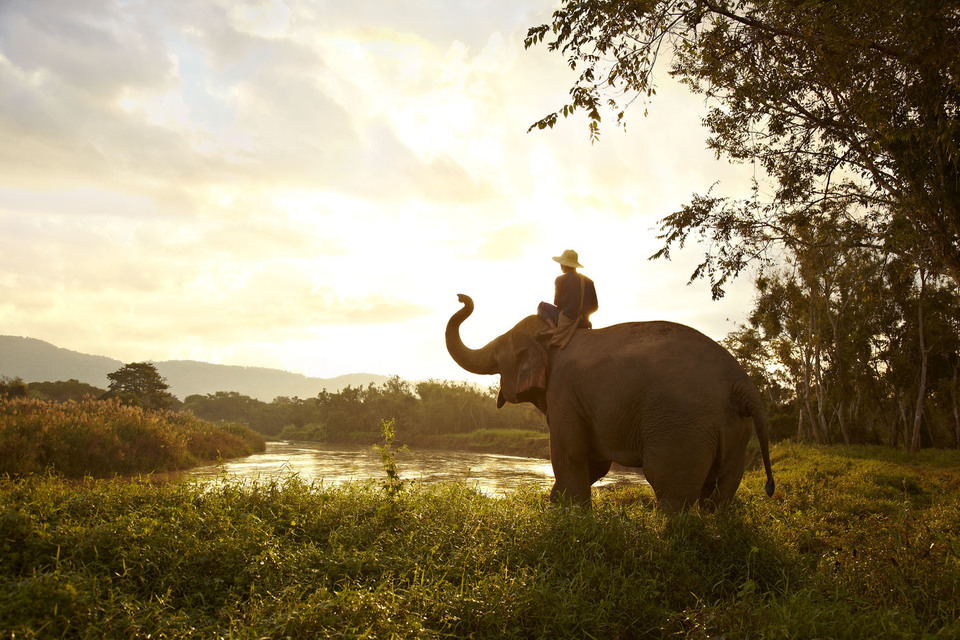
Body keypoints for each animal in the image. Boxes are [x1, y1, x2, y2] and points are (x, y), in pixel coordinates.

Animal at [445, 294, 775, 511]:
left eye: (499, 352)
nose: (462, 297)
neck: (552, 336)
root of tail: (741, 381)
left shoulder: (564, 392)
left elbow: (570, 453)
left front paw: (569, 518)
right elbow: (595, 461)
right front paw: (556, 506)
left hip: (683, 425)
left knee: (669, 483)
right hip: (735, 430)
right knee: (722, 488)